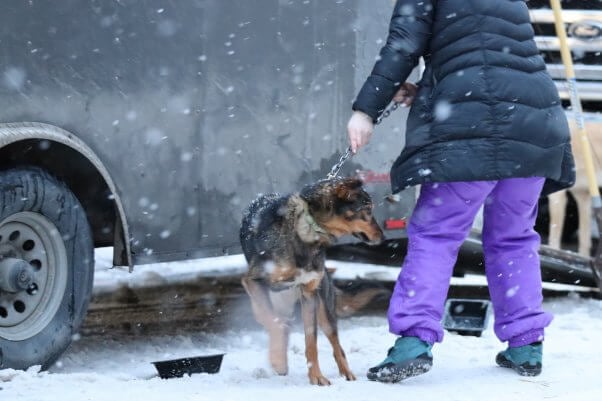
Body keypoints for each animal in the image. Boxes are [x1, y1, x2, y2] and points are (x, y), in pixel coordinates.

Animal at [238, 177, 382, 384]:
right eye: (368, 209)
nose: (383, 237)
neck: (308, 229)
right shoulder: (253, 281)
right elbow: (274, 322)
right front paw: (278, 360)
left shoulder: (309, 294)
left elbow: (311, 340)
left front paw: (316, 377)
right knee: (275, 320)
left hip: (324, 309)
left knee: (336, 344)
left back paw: (347, 373)